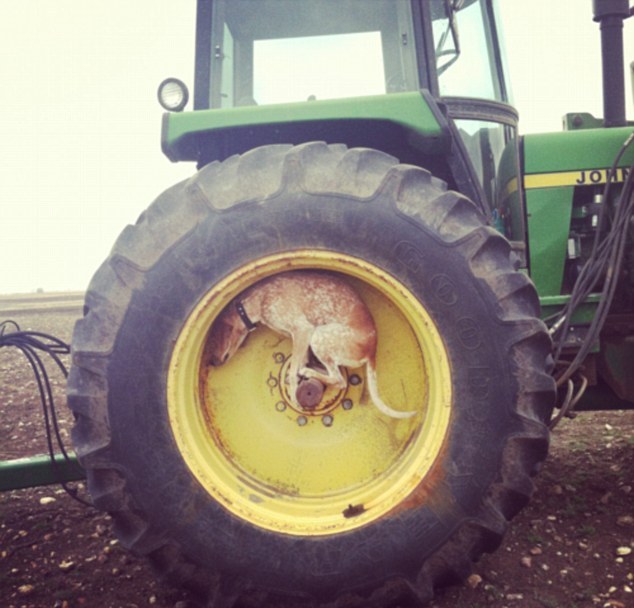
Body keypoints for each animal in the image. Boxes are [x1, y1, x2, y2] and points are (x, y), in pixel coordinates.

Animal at [208, 270, 416, 419]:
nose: (211, 362)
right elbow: (300, 361)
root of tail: (372, 350)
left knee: (339, 380)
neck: (259, 300)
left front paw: (294, 394)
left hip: (320, 336)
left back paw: (310, 373)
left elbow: (293, 370)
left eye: (215, 337)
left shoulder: (303, 330)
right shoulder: (299, 339)